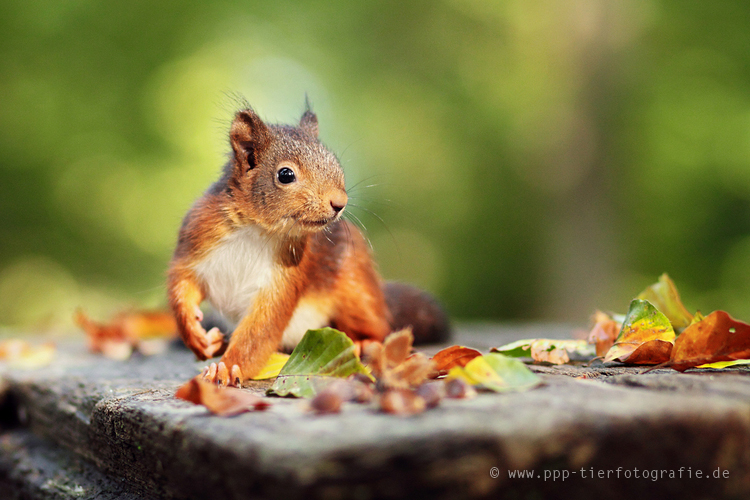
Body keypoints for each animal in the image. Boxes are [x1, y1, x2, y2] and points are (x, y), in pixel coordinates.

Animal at [167, 103, 450, 384]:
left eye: (335, 163)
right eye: (285, 174)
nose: (340, 202)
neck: (258, 229)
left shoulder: (286, 277)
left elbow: (260, 331)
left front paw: (226, 367)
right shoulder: (197, 238)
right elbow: (182, 283)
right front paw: (194, 334)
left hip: (357, 289)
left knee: (379, 327)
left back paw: (365, 343)